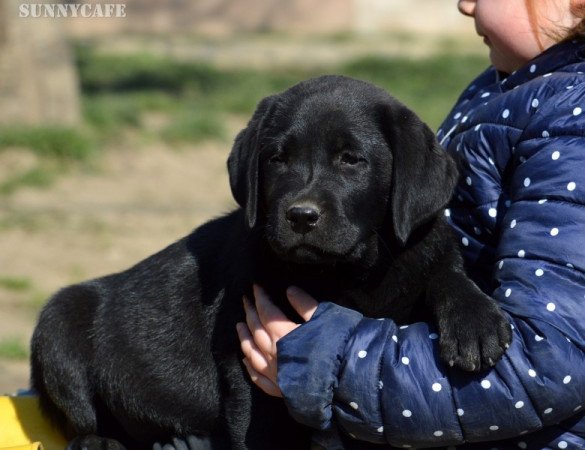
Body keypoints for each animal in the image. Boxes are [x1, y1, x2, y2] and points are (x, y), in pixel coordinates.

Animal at [29, 75, 508, 448]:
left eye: (351, 159)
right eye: (278, 158)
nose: (300, 216)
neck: (351, 273)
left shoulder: (424, 252)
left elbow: (447, 275)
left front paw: (476, 324)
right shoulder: (249, 365)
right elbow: (260, 431)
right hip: (58, 323)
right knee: (84, 425)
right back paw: (101, 442)